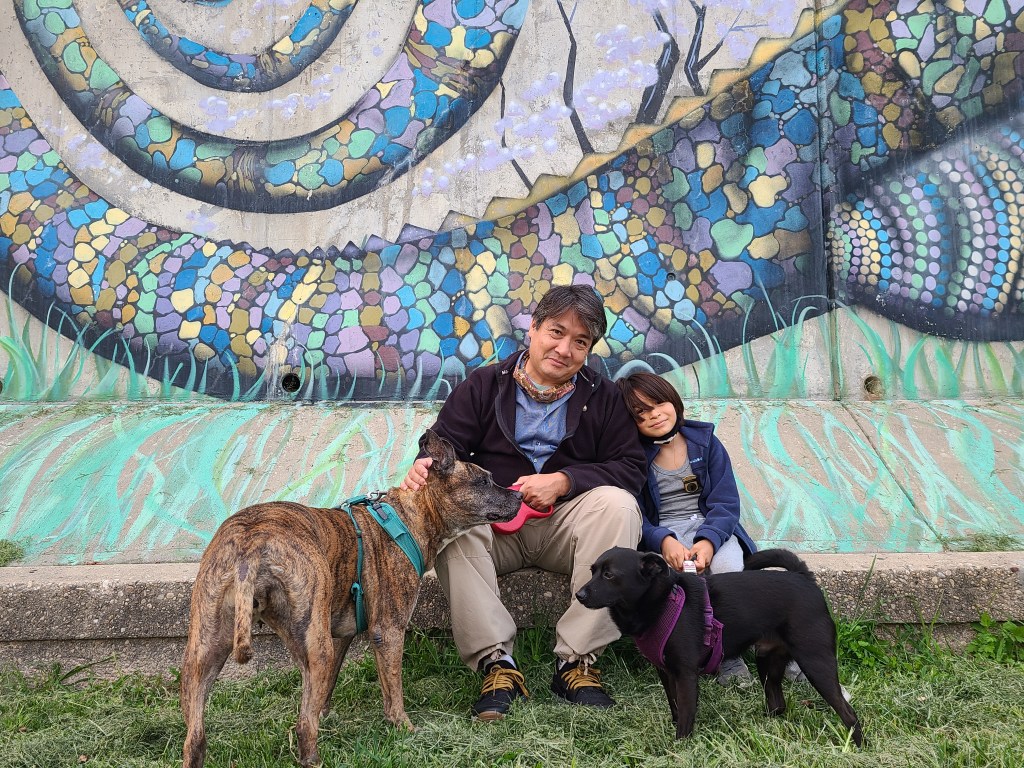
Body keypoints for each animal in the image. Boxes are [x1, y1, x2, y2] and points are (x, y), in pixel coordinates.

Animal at [179, 429, 522, 767]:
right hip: (315, 647)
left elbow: (325, 691)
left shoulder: (338, 636)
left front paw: (325, 713)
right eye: (484, 481)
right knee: (304, 728)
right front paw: (403, 727)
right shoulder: (388, 631)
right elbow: (393, 689)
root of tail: (251, 543)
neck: (412, 516)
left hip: (205, 651)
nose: (519, 495)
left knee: (195, 738)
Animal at [577, 547, 863, 746]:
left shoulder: (686, 675)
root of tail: (805, 578)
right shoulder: (666, 673)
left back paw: (856, 745)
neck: (662, 602)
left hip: (815, 663)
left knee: (848, 712)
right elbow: (675, 707)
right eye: (592, 571)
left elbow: (686, 716)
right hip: (768, 663)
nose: (579, 595)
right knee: (778, 703)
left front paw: (679, 748)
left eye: (609, 575)